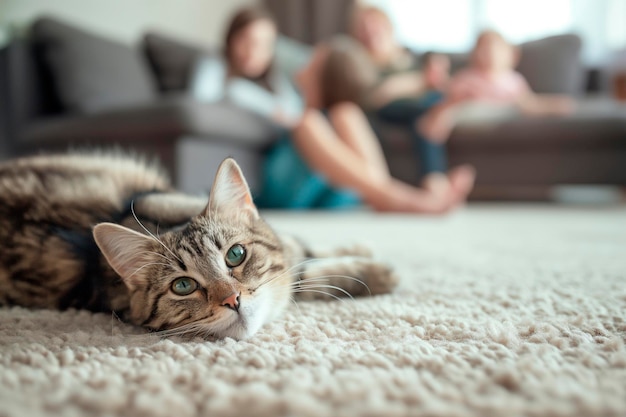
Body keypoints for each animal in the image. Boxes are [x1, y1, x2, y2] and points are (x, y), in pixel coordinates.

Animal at [0, 153, 398, 338]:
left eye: (236, 255)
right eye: (183, 286)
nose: (232, 300)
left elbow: (302, 249)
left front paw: (360, 251)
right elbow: (308, 273)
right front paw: (376, 272)